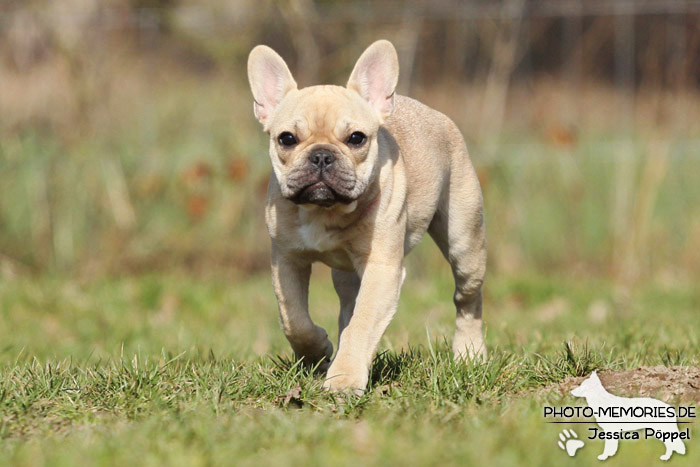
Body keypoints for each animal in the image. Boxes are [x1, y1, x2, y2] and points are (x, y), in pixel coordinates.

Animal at [247, 40, 486, 394]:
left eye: (356, 138)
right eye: (287, 138)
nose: (321, 155)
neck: (327, 210)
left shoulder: (382, 269)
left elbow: (362, 324)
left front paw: (344, 380)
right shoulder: (287, 260)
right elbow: (294, 319)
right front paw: (318, 350)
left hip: (464, 240)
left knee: (467, 298)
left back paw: (471, 353)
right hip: (346, 275)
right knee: (347, 307)